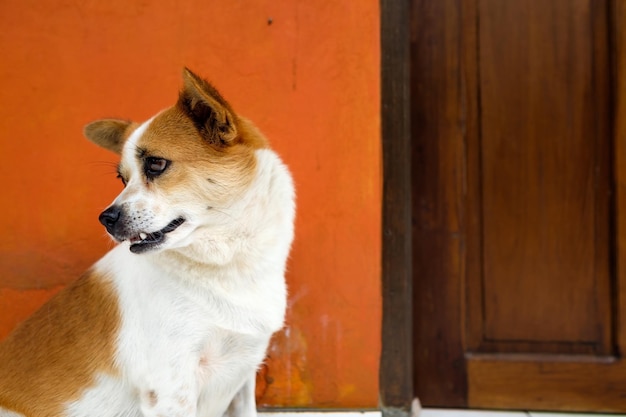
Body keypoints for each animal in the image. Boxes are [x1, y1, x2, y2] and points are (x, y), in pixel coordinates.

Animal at [0, 69, 294, 416]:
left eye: (156, 164)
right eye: (122, 179)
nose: (106, 218)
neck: (228, 266)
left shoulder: (243, 376)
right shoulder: (170, 390)